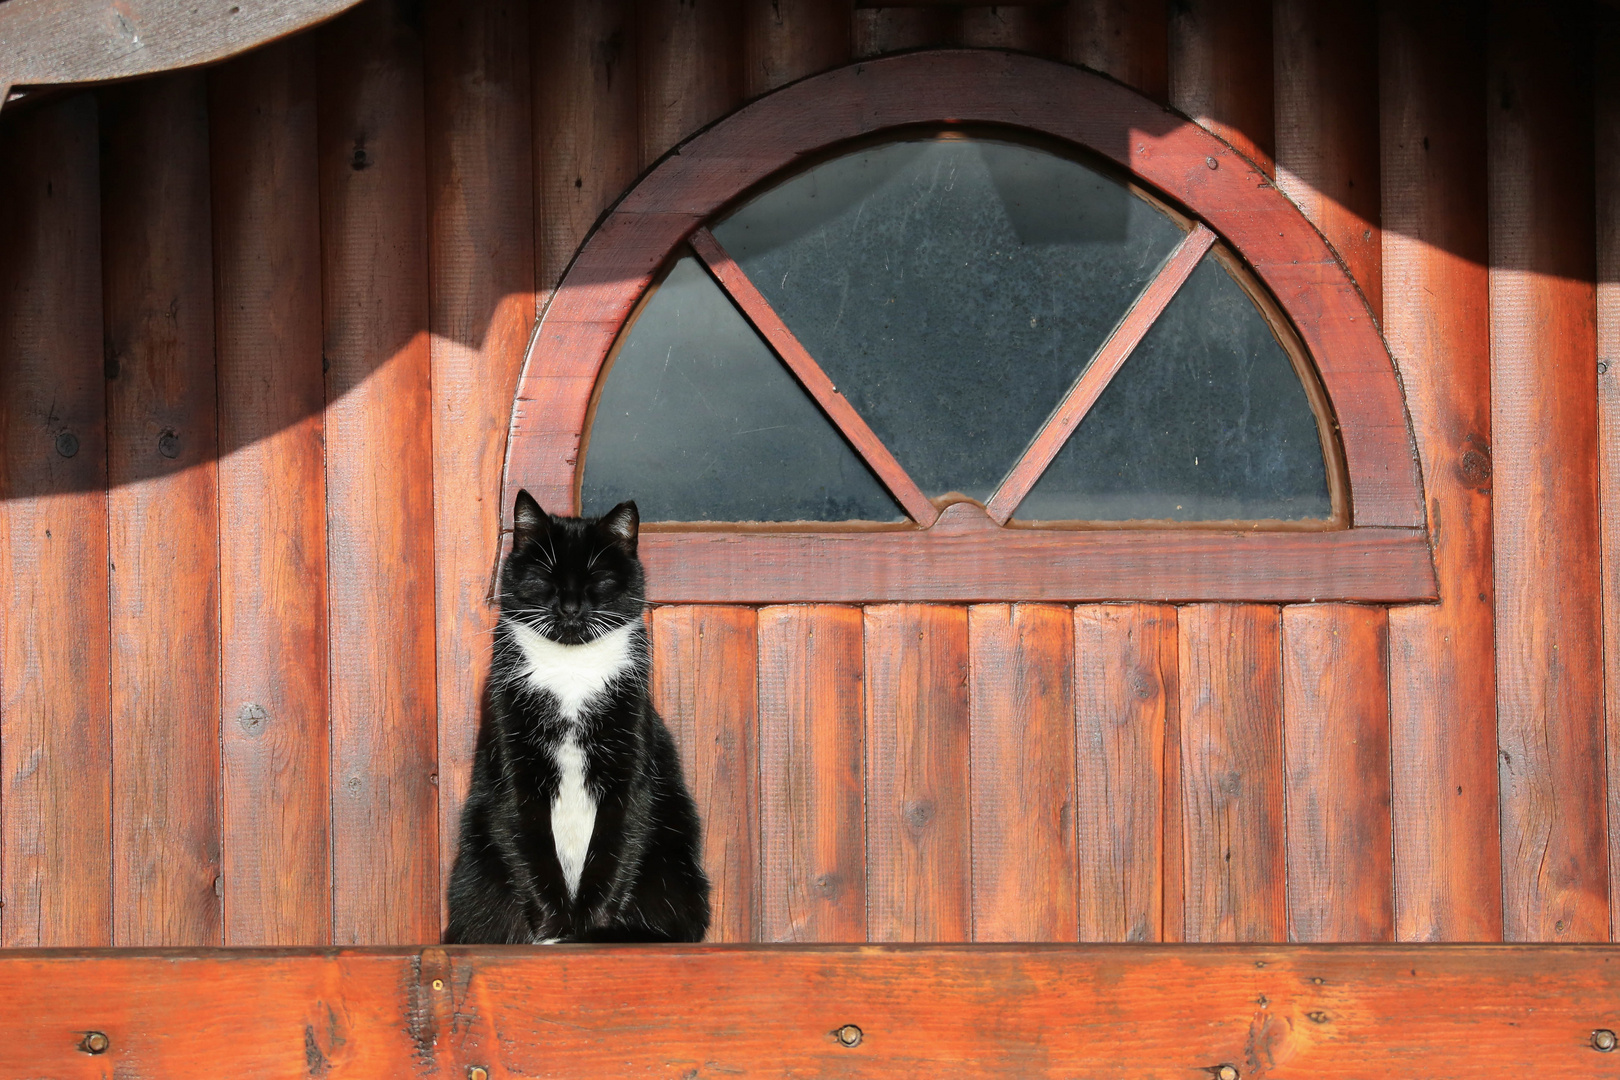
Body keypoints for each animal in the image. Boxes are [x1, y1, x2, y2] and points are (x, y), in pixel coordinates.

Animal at [450, 492, 716, 945]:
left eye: (599, 579)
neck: (571, 676)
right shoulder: (512, 756)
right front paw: (554, 930)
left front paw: (589, 930)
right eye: (546, 576)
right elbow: (528, 840)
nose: (571, 607)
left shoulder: (630, 753)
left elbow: (617, 843)